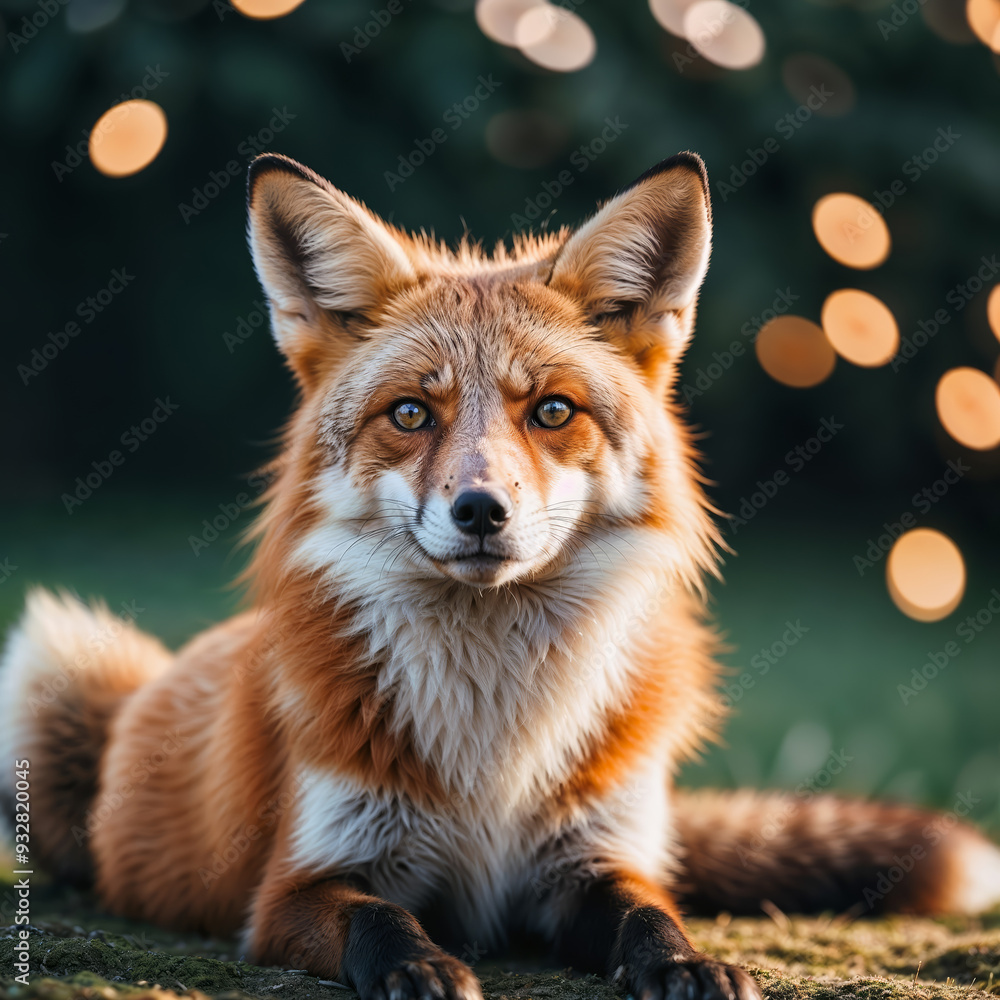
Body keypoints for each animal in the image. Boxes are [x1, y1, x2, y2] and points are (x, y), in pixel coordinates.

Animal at [3, 151, 1000, 1000]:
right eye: (411, 413)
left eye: (552, 410)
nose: (481, 510)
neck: (495, 738)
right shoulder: (296, 886)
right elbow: (382, 925)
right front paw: (422, 969)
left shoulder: (590, 860)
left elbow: (651, 914)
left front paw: (688, 964)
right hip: (55, 665)